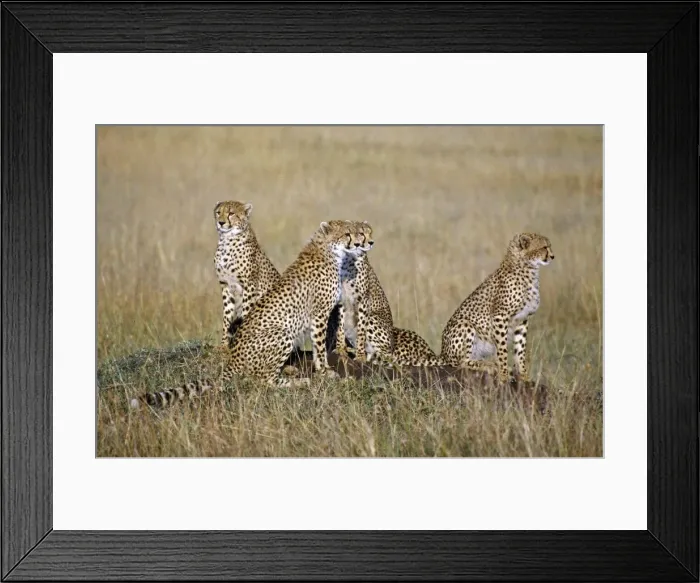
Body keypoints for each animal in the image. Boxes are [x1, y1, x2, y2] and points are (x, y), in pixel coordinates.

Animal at [130, 220, 373, 409]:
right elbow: (320, 349)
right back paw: (297, 382)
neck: (327, 251)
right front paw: (325, 372)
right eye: (347, 233)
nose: (359, 243)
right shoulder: (319, 315)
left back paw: (289, 371)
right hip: (281, 333)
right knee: (263, 380)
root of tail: (233, 359)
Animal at [213, 200, 281, 349]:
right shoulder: (225, 285)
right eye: (218, 212)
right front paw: (223, 345)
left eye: (231, 213)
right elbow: (227, 316)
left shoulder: (249, 285)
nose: (221, 222)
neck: (227, 240)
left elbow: (246, 313)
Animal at [439, 232, 554, 383]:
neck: (528, 269)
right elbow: (502, 349)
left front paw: (524, 376)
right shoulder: (500, 316)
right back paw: (488, 365)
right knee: (461, 362)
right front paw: (503, 375)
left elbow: (520, 350)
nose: (552, 256)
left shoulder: (523, 319)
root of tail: (442, 353)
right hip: (464, 324)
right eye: (544, 247)